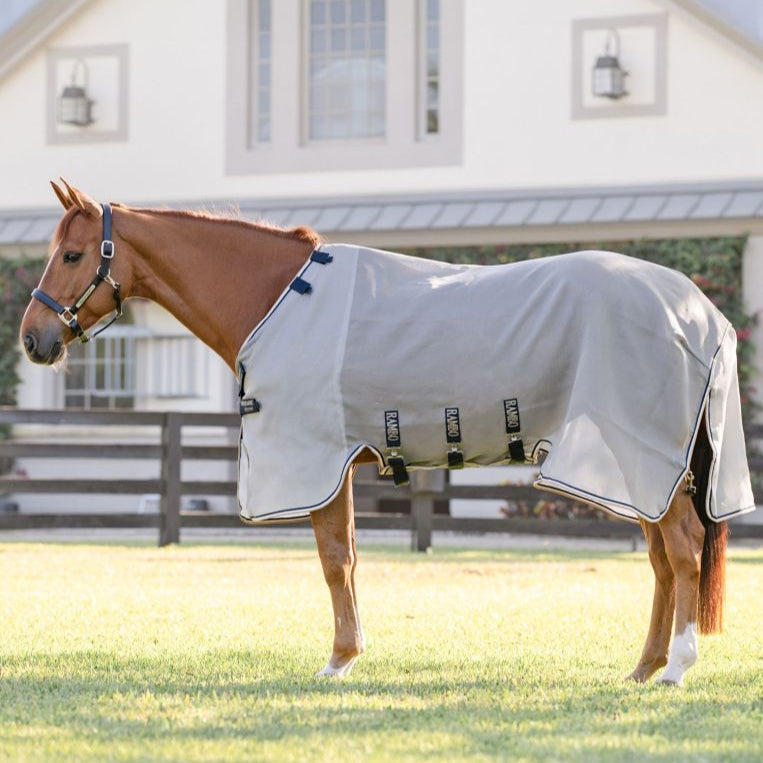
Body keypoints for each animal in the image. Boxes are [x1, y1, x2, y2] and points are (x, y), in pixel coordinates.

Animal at [19, 180, 753, 685]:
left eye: (73, 254)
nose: (33, 338)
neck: (277, 297)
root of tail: (698, 309)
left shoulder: (318, 459)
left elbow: (333, 559)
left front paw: (339, 661)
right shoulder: (339, 463)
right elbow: (345, 558)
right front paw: (347, 655)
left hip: (639, 455)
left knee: (682, 550)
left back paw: (676, 666)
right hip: (642, 467)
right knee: (662, 560)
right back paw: (642, 667)